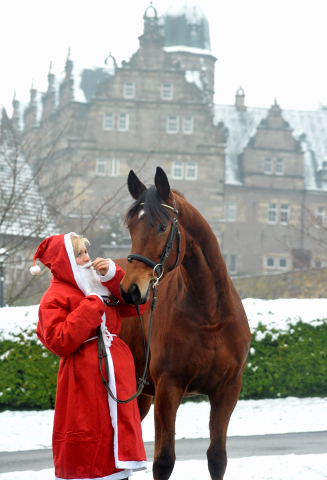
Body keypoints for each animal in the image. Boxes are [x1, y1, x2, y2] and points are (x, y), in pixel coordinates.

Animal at [119, 167, 252, 478]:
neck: (209, 313)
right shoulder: (169, 389)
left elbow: (217, 457)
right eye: (131, 226)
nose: (131, 290)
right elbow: (164, 460)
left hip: (140, 397)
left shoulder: (227, 389)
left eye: (161, 227)